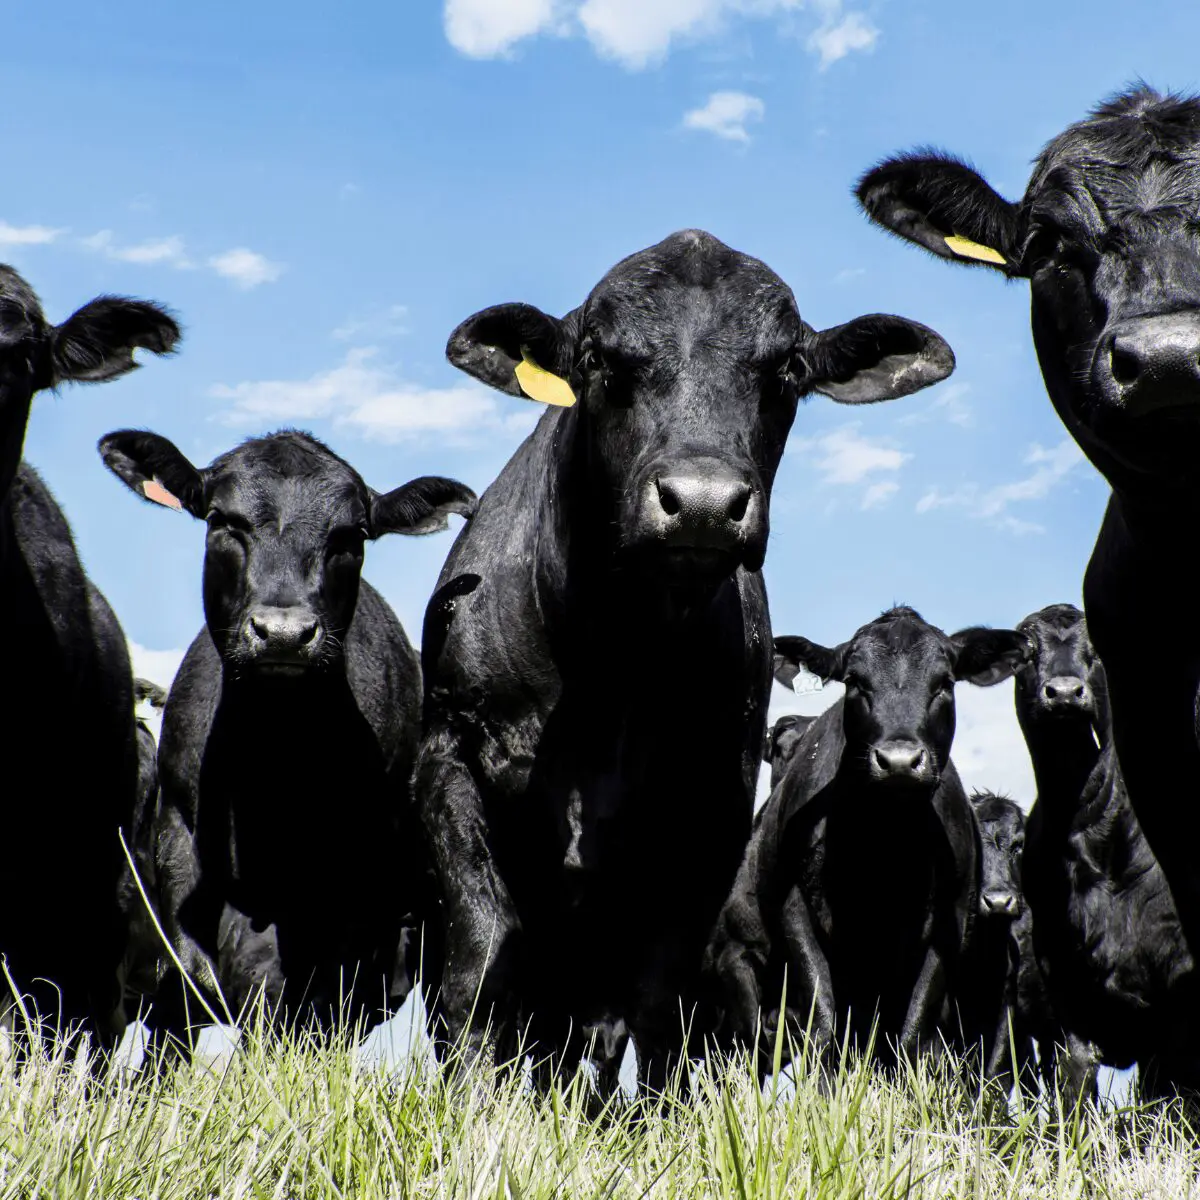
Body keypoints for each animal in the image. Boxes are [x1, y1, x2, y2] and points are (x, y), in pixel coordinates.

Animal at [418, 229, 958, 1092]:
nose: (702, 503)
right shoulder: (450, 756)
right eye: (597, 357)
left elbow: (654, 998)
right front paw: (468, 1100)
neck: (614, 659)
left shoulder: (710, 809)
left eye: (788, 368)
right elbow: (481, 956)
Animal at [706, 608, 1028, 1082]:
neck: (882, 847)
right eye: (855, 681)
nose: (899, 761)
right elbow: (823, 1024)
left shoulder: (947, 926)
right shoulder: (794, 912)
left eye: (945, 682)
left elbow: (911, 1035)